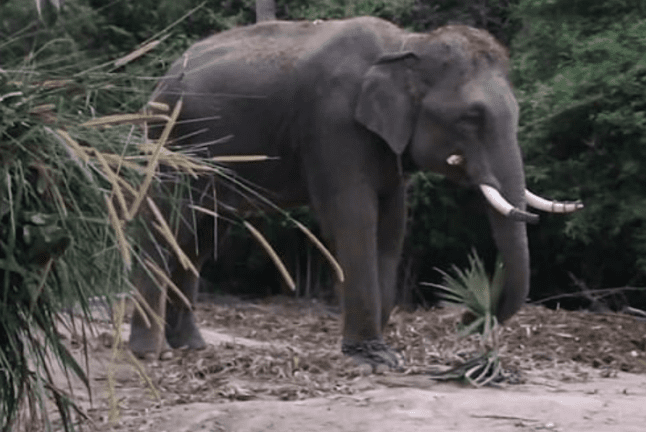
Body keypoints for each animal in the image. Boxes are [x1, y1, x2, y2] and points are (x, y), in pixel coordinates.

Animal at [129, 17, 582, 368]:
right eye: (471, 117)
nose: (464, 319)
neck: (407, 45)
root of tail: (162, 78)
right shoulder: (334, 124)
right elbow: (354, 217)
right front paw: (372, 358)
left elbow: (392, 225)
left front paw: (385, 351)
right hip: (170, 144)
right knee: (164, 225)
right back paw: (148, 354)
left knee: (200, 235)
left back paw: (190, 346)